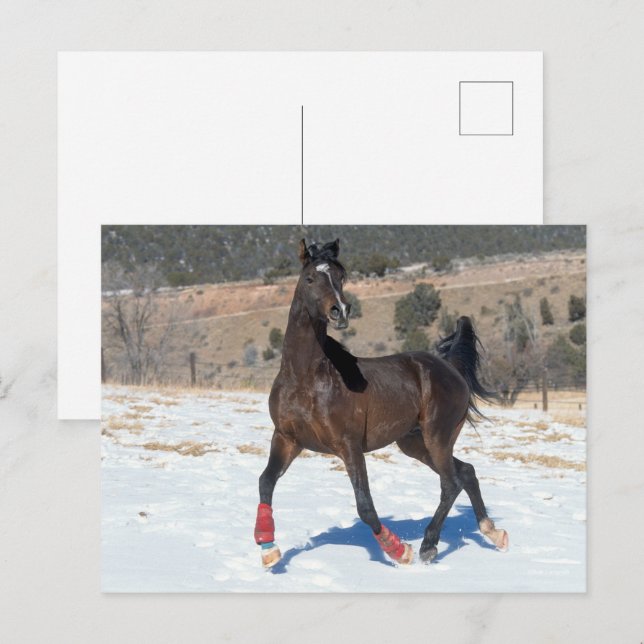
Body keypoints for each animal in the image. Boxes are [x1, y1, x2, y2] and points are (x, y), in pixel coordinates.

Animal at [254, 238, 508, 568]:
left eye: (340, 277)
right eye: (309, 278)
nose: (340, 311)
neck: (305, 378)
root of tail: (449, 367)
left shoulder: (348, 445)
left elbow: (365, 505)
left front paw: (399, 550)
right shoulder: (287, 438)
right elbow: (266, 482)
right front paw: (268, 550)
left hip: (437, 436)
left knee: (450, 483)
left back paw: (428, 546)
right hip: (413, 442)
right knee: (465, 472)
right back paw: (493, 533)